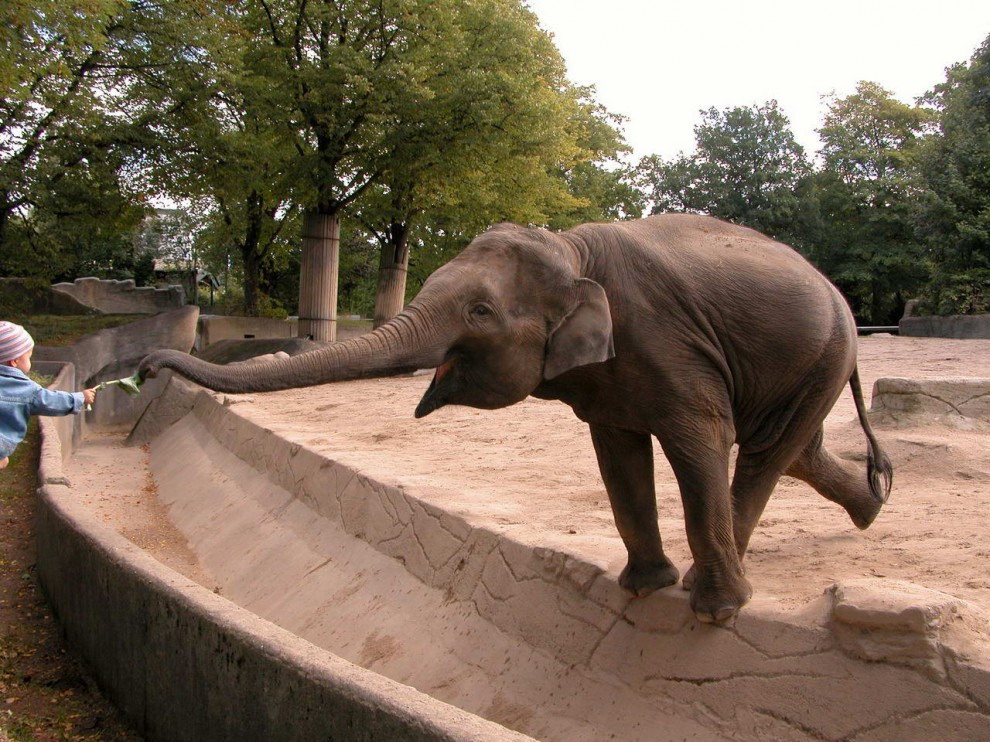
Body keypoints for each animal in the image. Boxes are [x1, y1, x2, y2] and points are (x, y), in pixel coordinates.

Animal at [143, 214, 896, 620]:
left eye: (479, 312)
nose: (148, 367)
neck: (570, 246)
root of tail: (837, 293)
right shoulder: (613, 375)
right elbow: (618, 454)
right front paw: (642, 588)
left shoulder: (671, 347)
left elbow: (697, 442)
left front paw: (706, 611)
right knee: (793, 451)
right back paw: (872, 505)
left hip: (824, 353)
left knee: (766, 453)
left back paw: (719, 587)